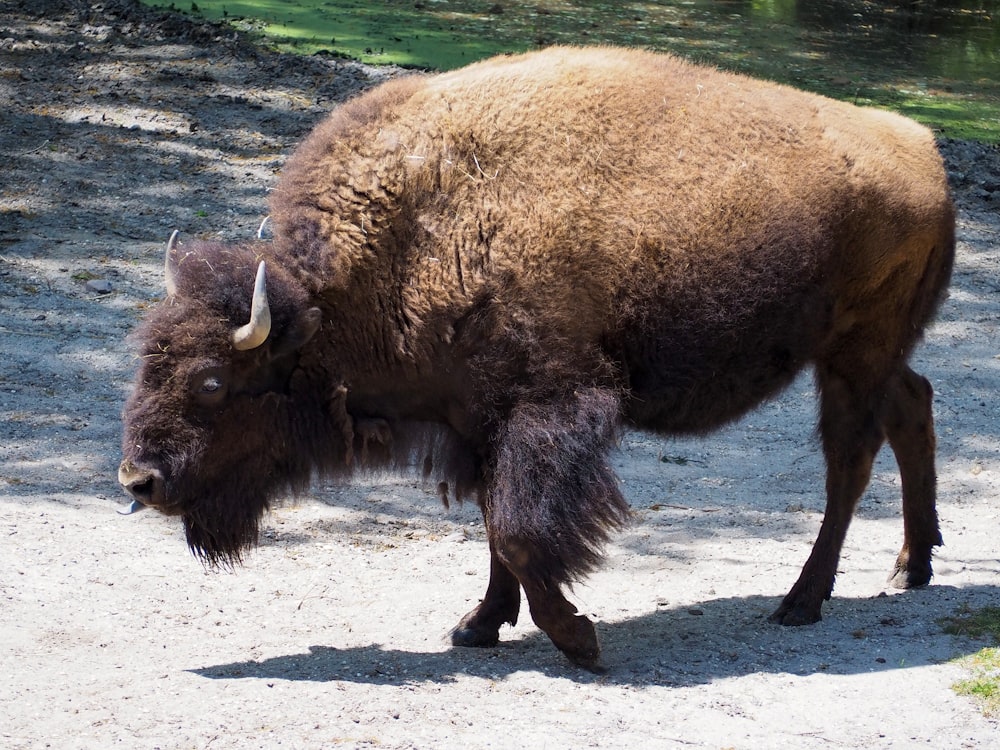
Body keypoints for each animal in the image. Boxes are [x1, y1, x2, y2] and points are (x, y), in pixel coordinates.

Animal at [121, 47, 956, 668]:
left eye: (211, 382)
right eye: (147, 361)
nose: (138, 479)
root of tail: (925, 152)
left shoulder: (546, 410)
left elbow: (523, 531)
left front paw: (579, 639)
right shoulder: (477, 422)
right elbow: (497, 525)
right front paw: (479, 623)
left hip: (853, 354)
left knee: (849, 461)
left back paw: (802, 602)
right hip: (868, 354)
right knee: (913, 406)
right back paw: (912, 565)